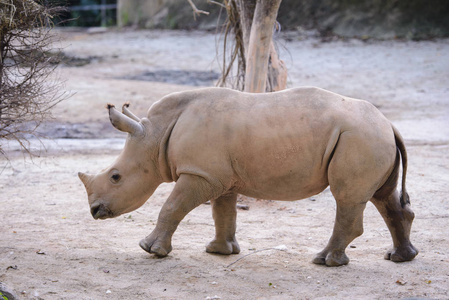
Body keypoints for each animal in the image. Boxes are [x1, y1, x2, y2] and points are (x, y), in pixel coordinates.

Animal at [79, 85, 416, 266]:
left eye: (115, 177)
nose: (94, 211)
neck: (155, 136)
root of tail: (389, 123)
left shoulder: (199, 174)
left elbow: (171, 207)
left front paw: (150, 250)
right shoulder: (219, 177)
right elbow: (223, 212)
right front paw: (220, 251)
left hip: (360, 137)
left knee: (347, 199)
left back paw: (325, 261)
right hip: (371, 137)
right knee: (383, 198)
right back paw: (400, 257)